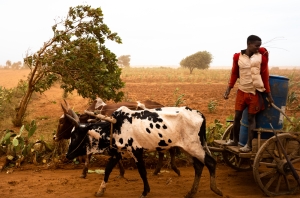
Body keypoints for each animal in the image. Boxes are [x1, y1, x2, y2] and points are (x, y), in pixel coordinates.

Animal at [66, 106, 223, 198]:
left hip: (194, 147)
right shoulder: (117, 153)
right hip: (189, 149)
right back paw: (192, 192)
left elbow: (142, 172)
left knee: (211, 162)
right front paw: (100, 190)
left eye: (75, 136)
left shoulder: (136, 151)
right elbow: (107, 170)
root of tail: (200, 114)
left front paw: (145, 191)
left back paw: (216, 189)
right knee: (199, 166)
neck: (115, 125)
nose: (67, 156)